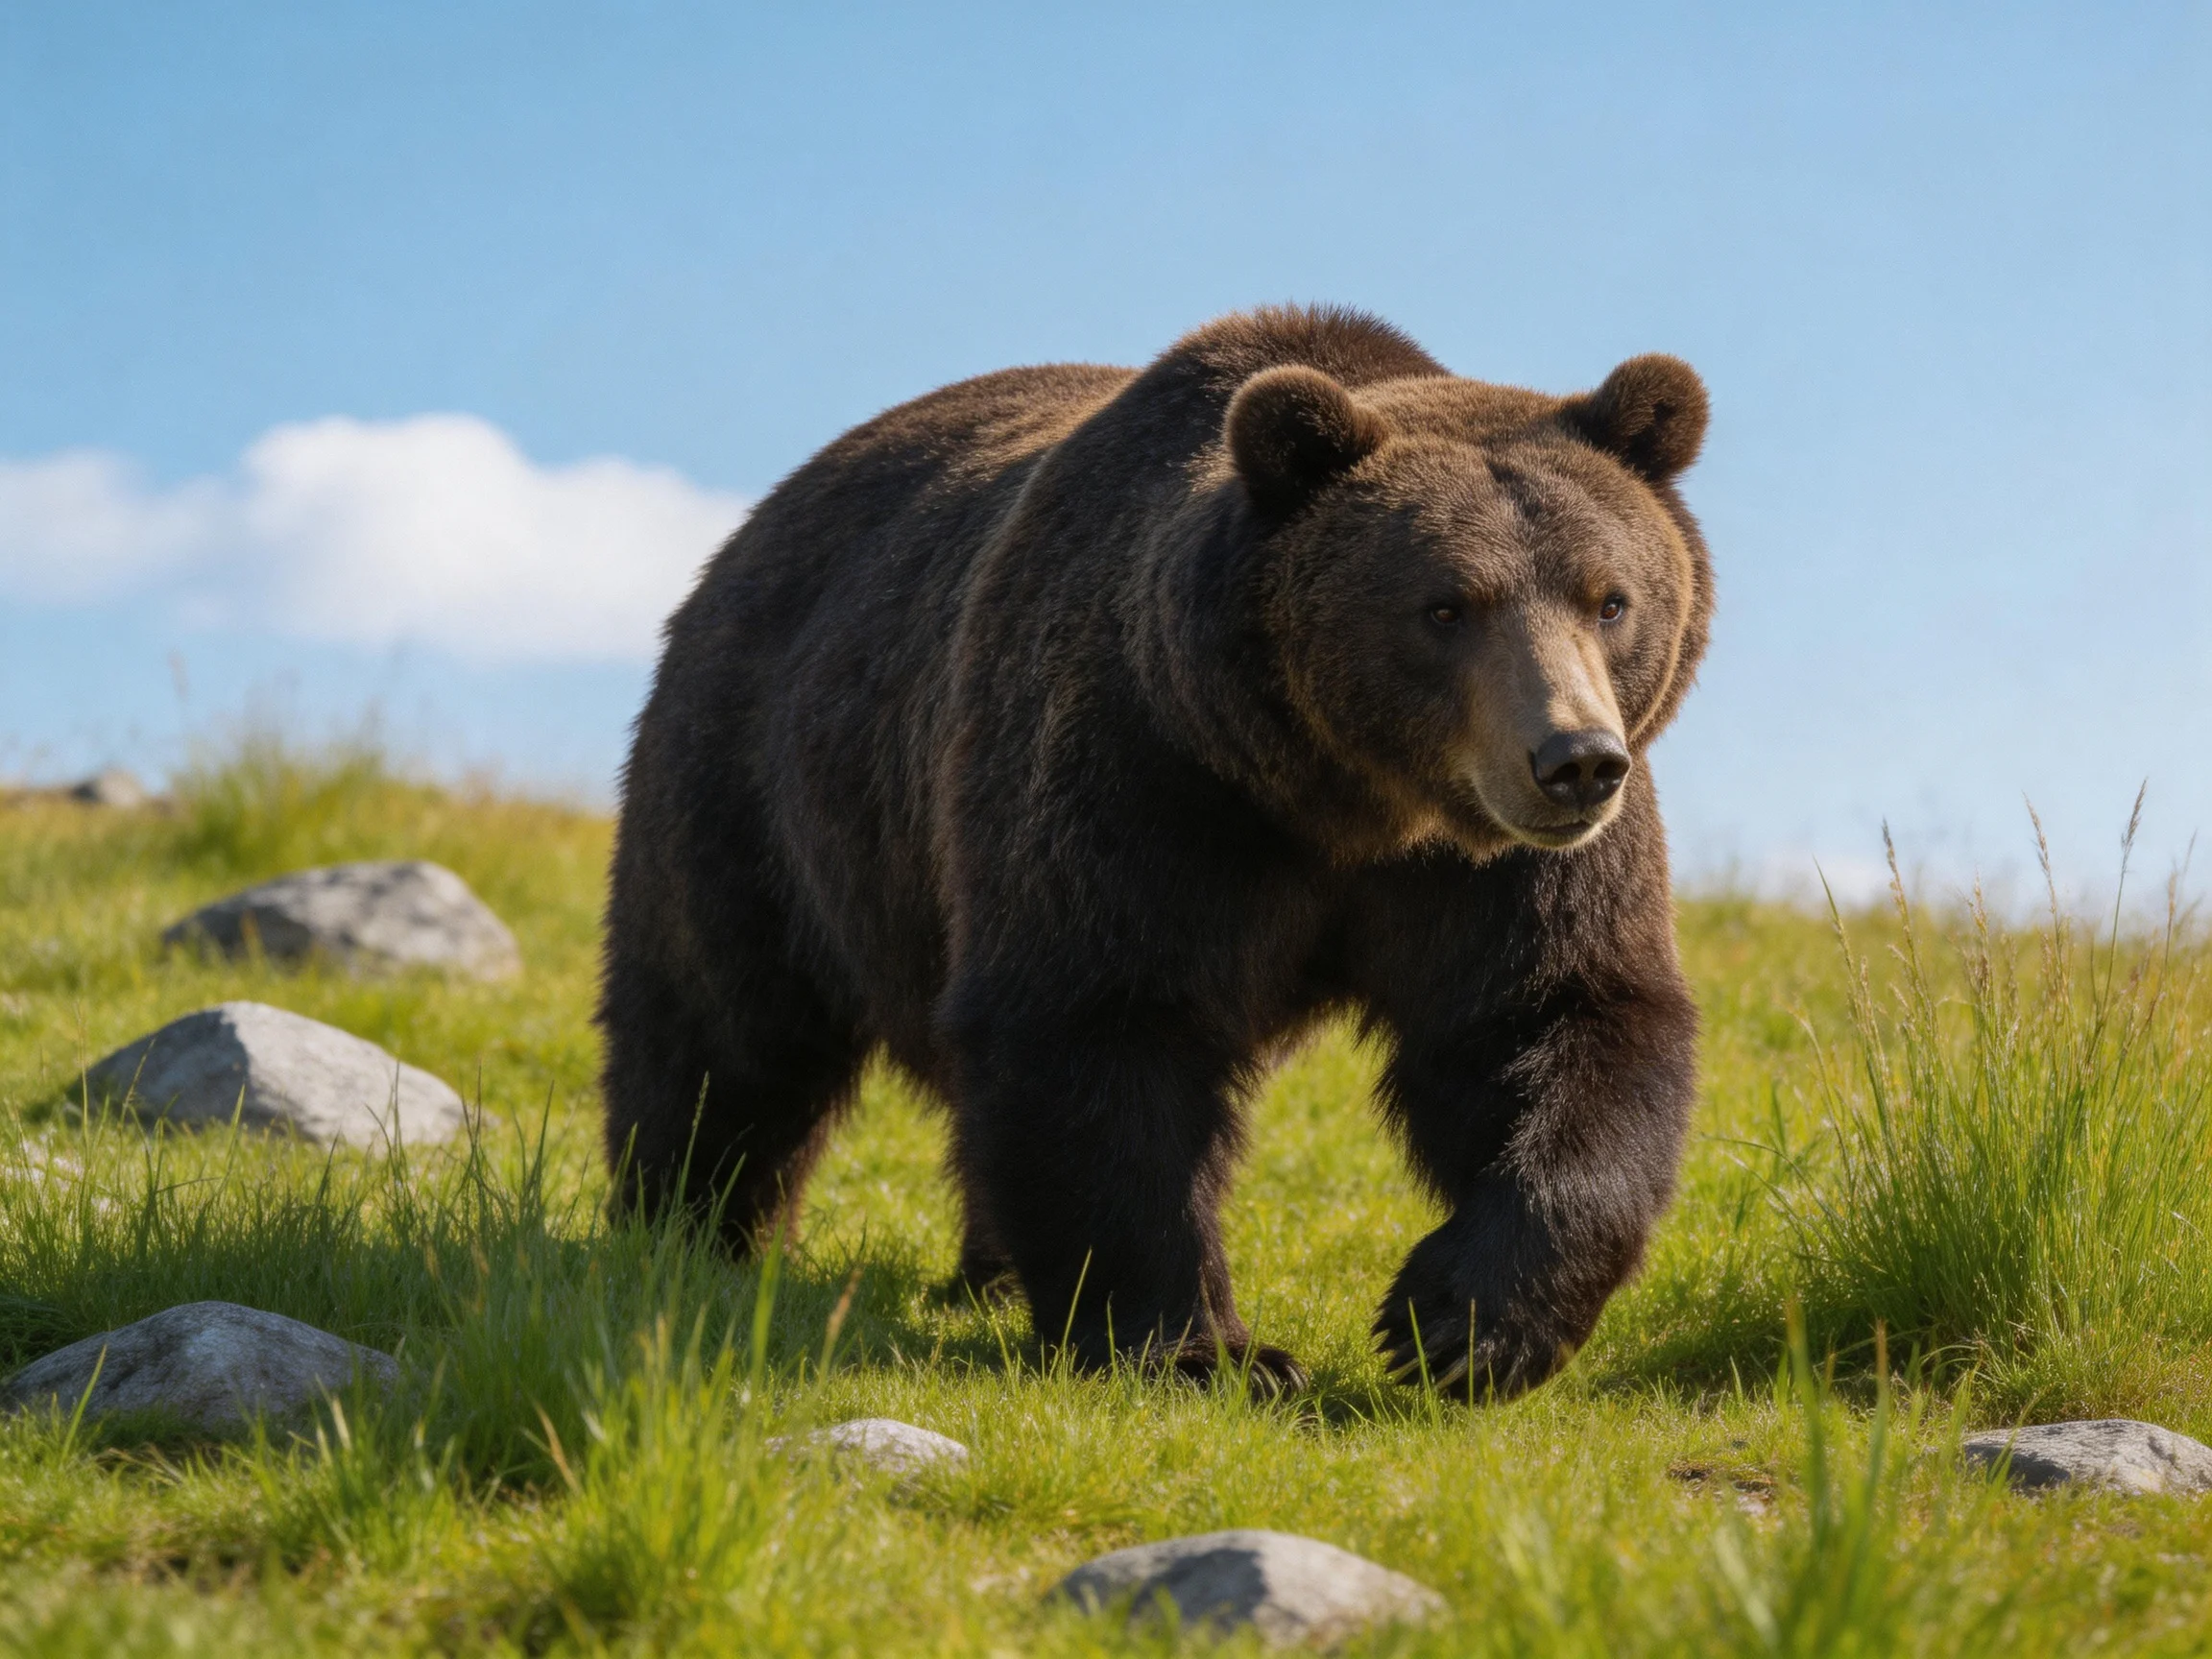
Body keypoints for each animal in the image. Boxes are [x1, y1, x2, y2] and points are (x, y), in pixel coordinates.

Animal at [599, 305, 1712, 1400]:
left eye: (1610, 598)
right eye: (1445, 605)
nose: (1574, 761)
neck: (1345, 800)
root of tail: (764, 518)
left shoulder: (1500, 875)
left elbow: (1559, 1021)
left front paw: (1463, 1322)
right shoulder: (1141, 779)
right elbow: (1101, 1025)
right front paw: (1205, 1350)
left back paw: (984, 1272)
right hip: (764, 781)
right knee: (723, 1022)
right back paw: (692, 1230)